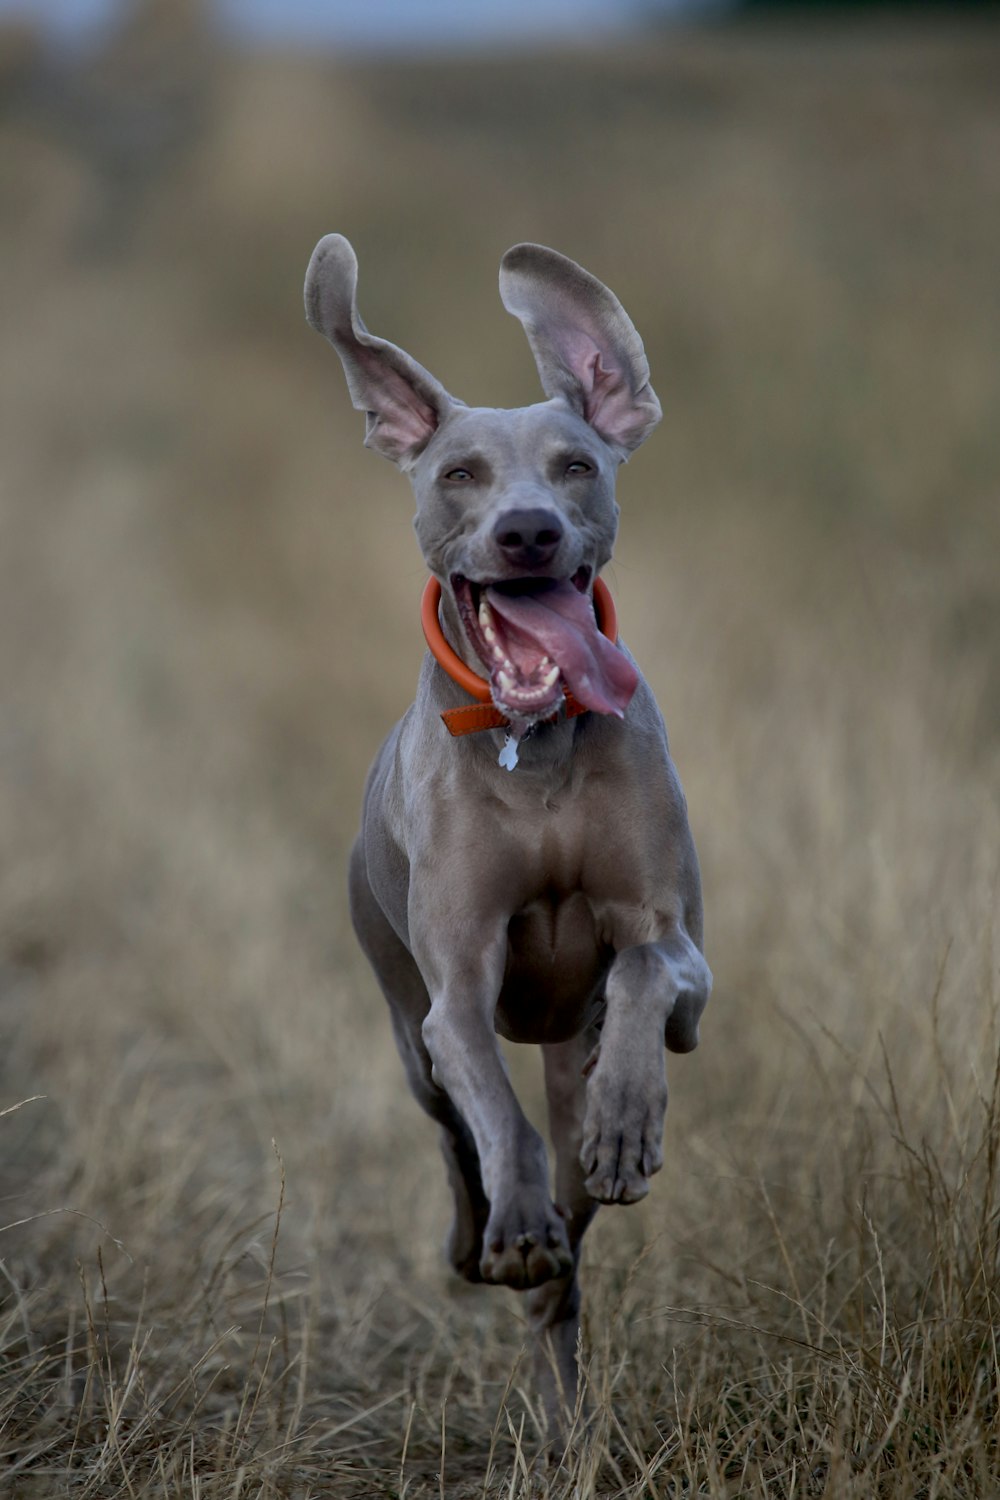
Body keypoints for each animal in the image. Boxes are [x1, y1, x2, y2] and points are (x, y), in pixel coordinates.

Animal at [305, 234, 710, 1416]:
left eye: (576, 466)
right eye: (458, 474)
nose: (527, 531)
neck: (538, 749)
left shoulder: (684, 959)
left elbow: (644, 971)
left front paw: (629, 1115)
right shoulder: (454, 991)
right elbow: (489, 1094)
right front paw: (511, 1223)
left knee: (570, 1229)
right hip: (404, 1033)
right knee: (457, 1140)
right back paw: (483, 1237)